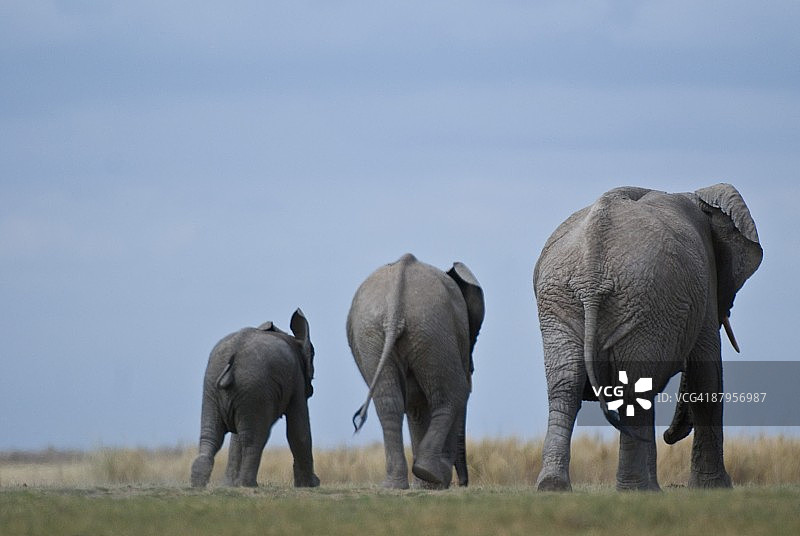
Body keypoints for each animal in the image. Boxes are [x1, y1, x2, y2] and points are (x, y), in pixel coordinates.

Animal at [190, 309, 320, 488]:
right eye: (313, 354)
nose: (313, 388)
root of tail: (233, 356)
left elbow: (236, 437)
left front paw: (230, 485)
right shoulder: (296, 379)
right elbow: (298, 430)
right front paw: (311, 485)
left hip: (215, 385)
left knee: (212, 435)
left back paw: (199, 482)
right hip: (253, 387)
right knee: (255, 438)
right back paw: (248, 484)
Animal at [348, 253, 484, 489]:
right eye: (473, 337)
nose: (462, 484)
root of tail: (395, 307)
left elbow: (416, 404)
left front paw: (425, 486)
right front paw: (432, 483)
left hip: (378, 334)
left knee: (389, 403)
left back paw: (397, 484)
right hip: (432, 329)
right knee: (455, 394)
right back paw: (431, 472)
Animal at [533, 184, 762, 491]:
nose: (668, 436)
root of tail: (592, 270)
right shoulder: (705, 284)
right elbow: (706, 375)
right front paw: (716, 488)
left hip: (566, 302)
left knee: (565, 386)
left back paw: (555, 486)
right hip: (642, 300)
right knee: (634, 389)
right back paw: (639, 489)